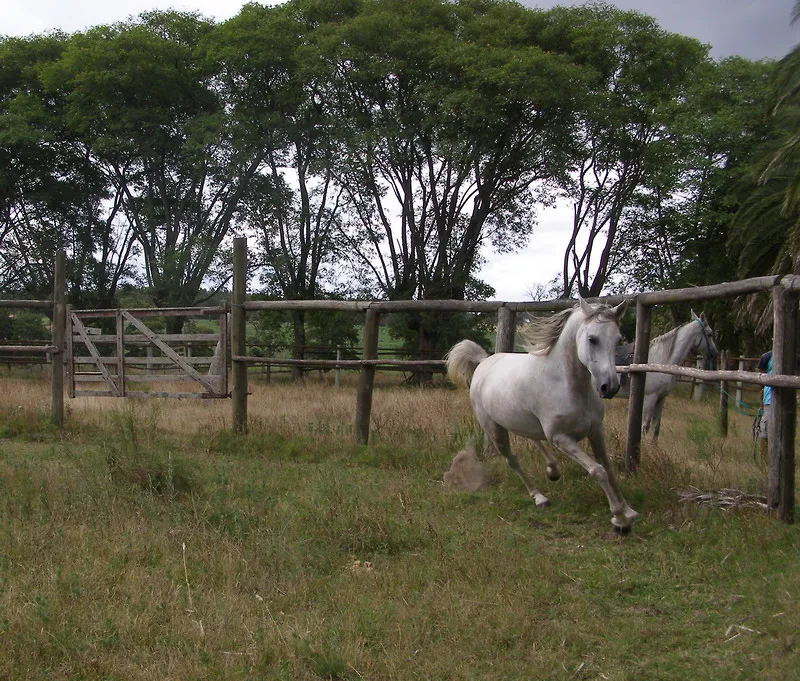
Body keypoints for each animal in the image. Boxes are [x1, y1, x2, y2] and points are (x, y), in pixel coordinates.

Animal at [445, 298, 639, 533]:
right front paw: (620, 520)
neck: (568, 384)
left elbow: (608, 468)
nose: (609, 387)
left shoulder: (596, 431)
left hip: (523, 421)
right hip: (494, 430)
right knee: (512, 460)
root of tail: (483, 362)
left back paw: (552, 471)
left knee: (533, 438)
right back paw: (539, 497)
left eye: (618, 340)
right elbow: (598, 471)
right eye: (592, 339)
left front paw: (629, 510)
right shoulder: (561, 438)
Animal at [615, 311, 718, 439]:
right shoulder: (649, 398)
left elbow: (656, 428)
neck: (660, 361)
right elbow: (644, 427)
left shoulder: (661, 399)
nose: (715, 353)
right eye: (710, 334)